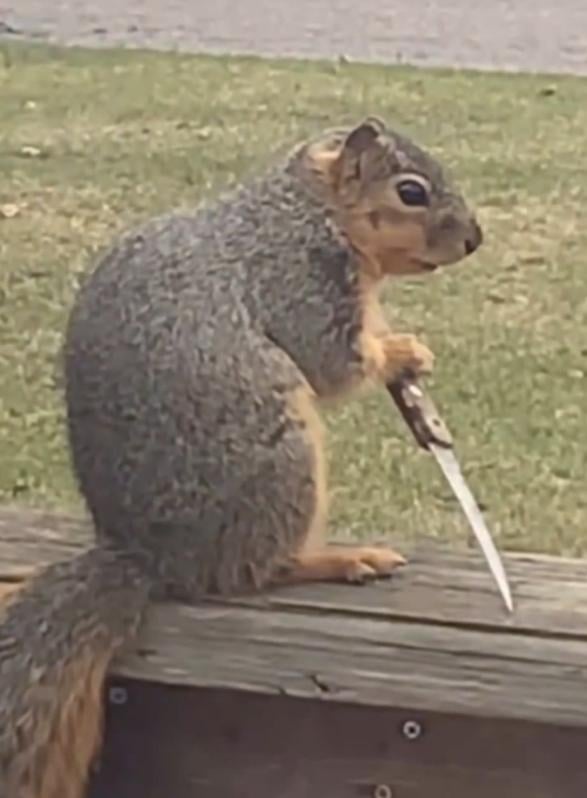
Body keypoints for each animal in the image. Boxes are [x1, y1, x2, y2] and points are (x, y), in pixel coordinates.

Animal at [0, 115, 482, 797]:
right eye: (410, 191)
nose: (473, 238)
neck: (310, 207)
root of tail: (153, 559)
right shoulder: (303, 284)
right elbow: (336, 365)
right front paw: (405, 352)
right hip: (283, 465)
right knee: (254, 571)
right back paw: (340, 559)